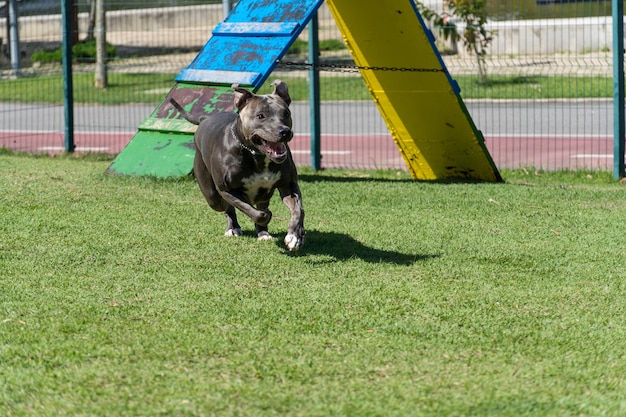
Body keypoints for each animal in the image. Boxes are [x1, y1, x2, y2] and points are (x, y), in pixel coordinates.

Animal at [168, 80, 304, 250]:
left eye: (286, 113)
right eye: (260, 116)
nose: (284, 131)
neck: (256, 155)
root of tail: (205, 118)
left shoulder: (289, 185)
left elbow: (298, 210)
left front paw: (295, 236)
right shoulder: (227, 190)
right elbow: (253, 211)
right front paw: (267, 217)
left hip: (263, 194)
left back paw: (263, 234)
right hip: (212, 195)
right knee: (227, 207)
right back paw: (233, 228)